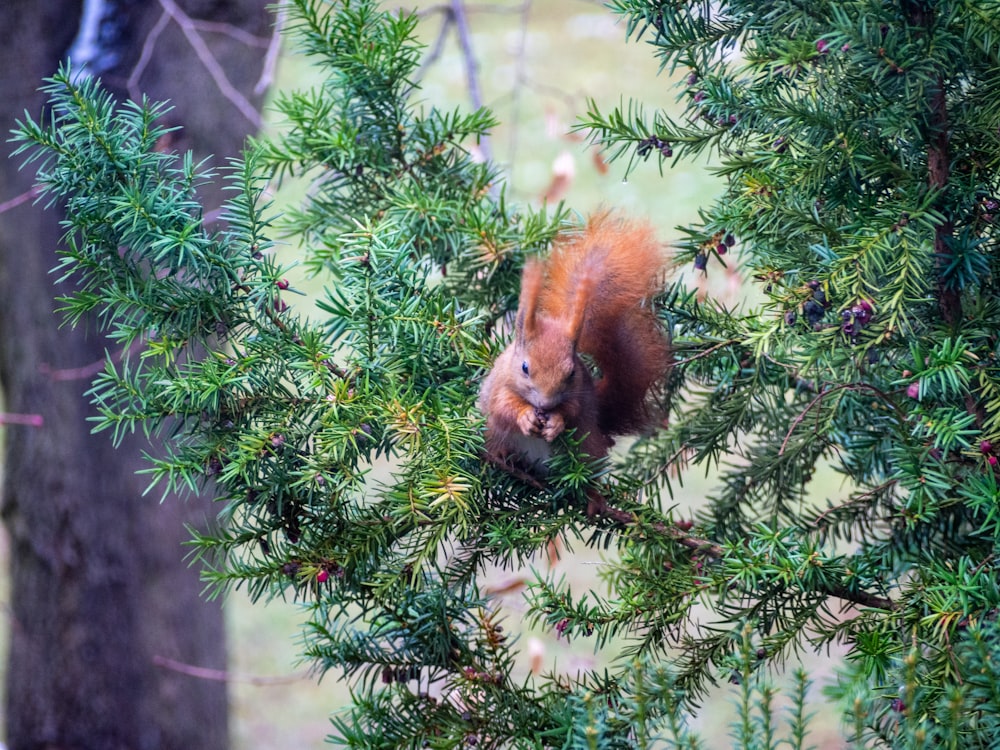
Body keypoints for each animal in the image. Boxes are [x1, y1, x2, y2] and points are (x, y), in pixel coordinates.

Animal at [478, 213, 672, 470]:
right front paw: (525, 416)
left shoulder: (579, 391)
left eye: (571, 373)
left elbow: (572, 409)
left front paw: (556, 421)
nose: (545, 405)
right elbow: (502, 406)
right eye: (524, 368)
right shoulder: (500, 383)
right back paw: (502, 458)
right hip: (492, 434)